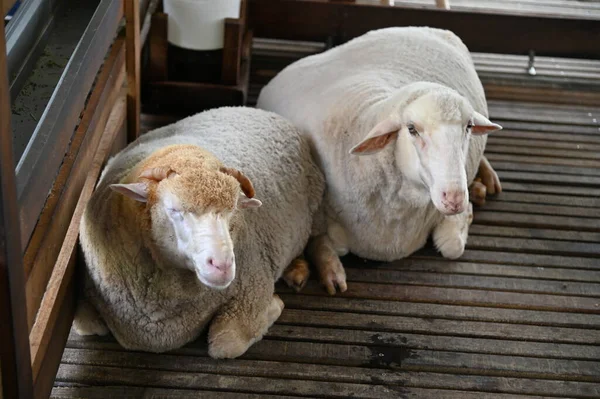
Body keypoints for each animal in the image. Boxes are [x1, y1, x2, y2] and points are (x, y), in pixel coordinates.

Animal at [72, 107, 326, 360]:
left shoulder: (253, 286)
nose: (222, 266)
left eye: (233, 210)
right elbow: (86, 325)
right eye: (173, 210)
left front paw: (274, 305)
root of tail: (258, 110)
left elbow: (226, 343)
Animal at [256, 25, 502, 294]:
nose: (455, 198)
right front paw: (328, 272)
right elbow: (321, 244)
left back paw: (486, 181)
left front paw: (467, 212)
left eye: (468, 126)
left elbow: (452, 247)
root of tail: (425, 27)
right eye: (412, 129)